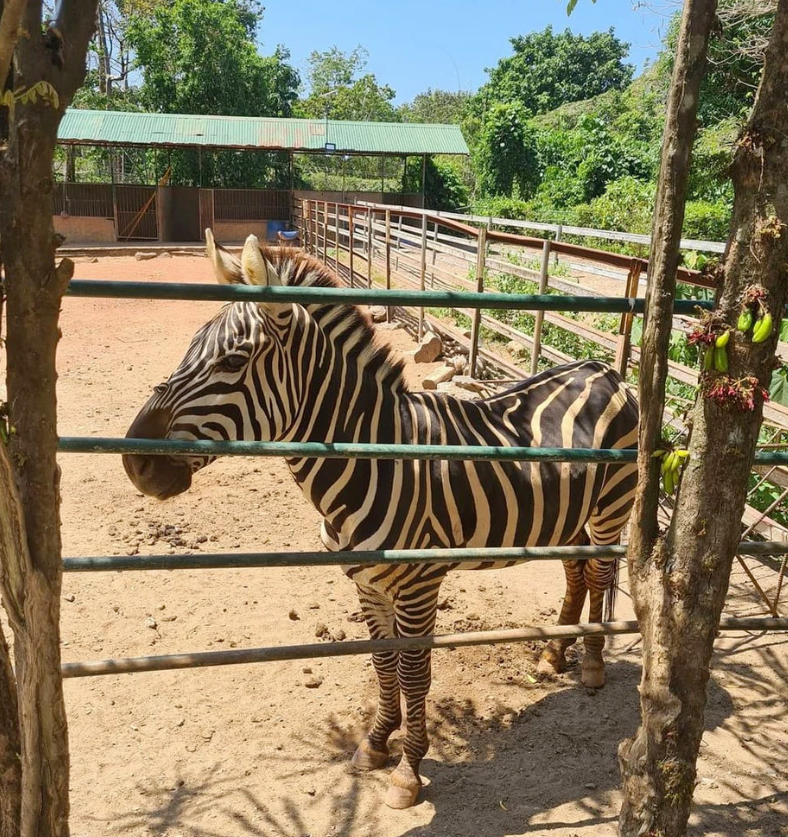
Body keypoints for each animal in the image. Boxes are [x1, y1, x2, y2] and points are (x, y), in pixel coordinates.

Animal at [124, 232, 640, 808]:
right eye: (192, 344)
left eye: (235, 359)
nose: (134, 462)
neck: (373, 456)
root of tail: (602, 368)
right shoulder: (366, 582)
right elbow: (382, 662)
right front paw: (375, 744)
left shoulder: (419, 584)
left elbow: (413, 673)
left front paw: (408, 771)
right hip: (567, 514)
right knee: (577, 571)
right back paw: (553, 654)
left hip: (611, 506)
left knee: (599, 573)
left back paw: (592, 664)